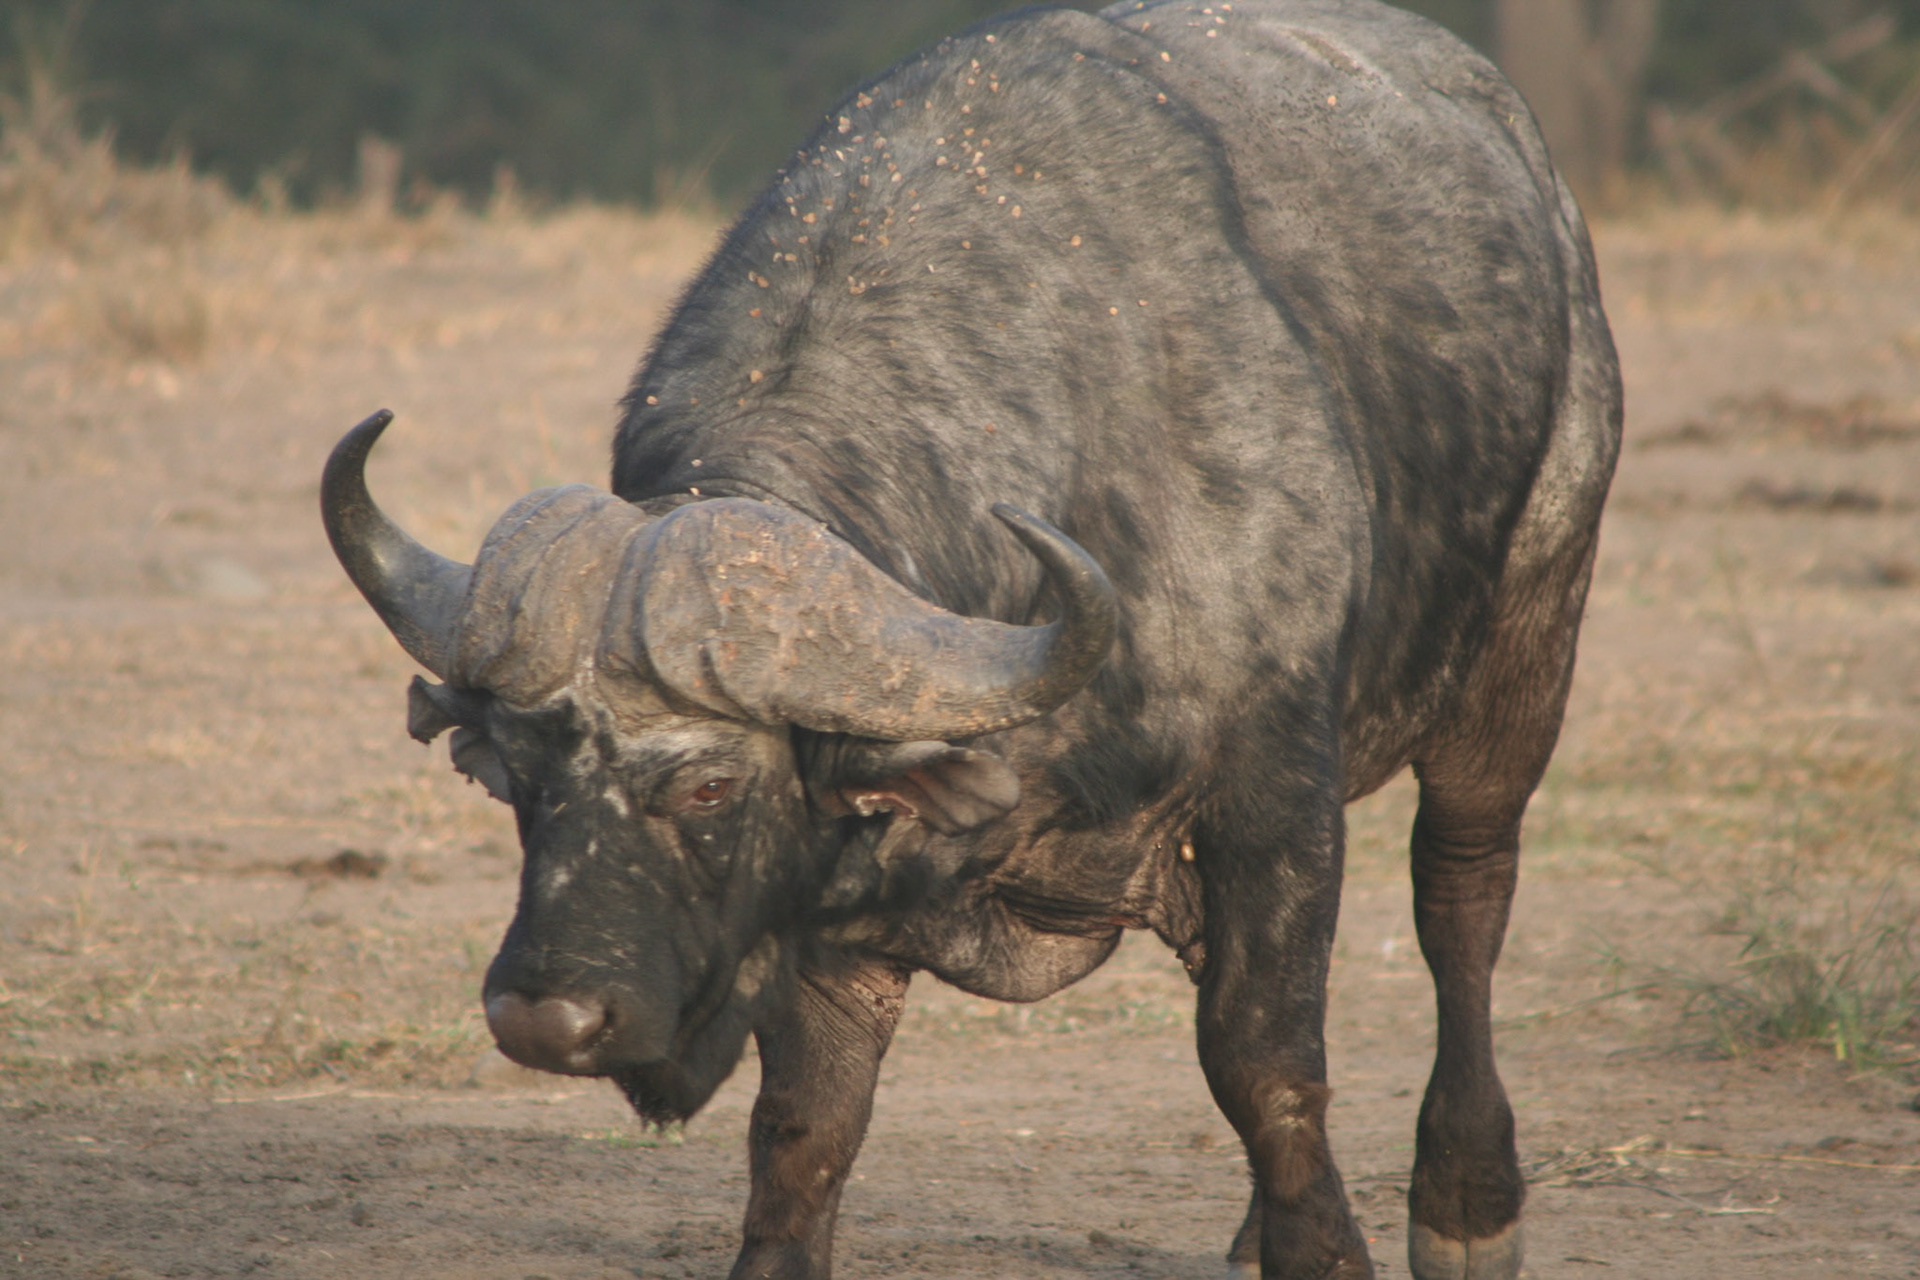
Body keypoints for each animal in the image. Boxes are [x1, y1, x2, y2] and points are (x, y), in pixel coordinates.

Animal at [321, 1, 1620, 1276]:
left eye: (708, 788)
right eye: (516, 779)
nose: (547, 1015)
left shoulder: (1275, 796)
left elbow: (1265, 1062)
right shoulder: (836, 910)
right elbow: (806, 1122)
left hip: (1528, 641)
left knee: (1462, 895)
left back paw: (1465, 1197)